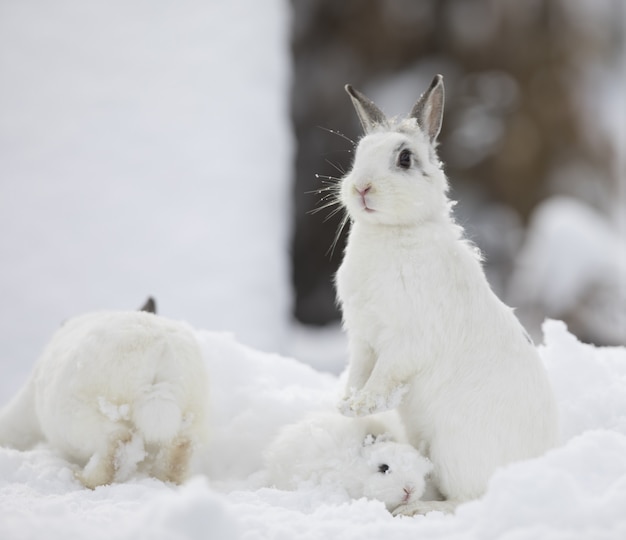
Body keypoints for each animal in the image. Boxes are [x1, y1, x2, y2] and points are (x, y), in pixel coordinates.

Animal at [0, 304, 210, 490]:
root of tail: (160, 350)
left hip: (80, 415)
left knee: (116, 441)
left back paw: (85, 479)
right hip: (190, 413)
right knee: (180, 447)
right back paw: (166, 480)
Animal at [334, 76, 560, 516]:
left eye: (405, 159)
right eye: (357, 155)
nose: (361, 187)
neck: (393, 231)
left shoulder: (405, 341)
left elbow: (384, 374)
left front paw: (363, 405)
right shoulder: (363, 338)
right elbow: (359, 371)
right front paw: (346, 405)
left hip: (454, 450)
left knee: (469, 499)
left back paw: (417, 509)